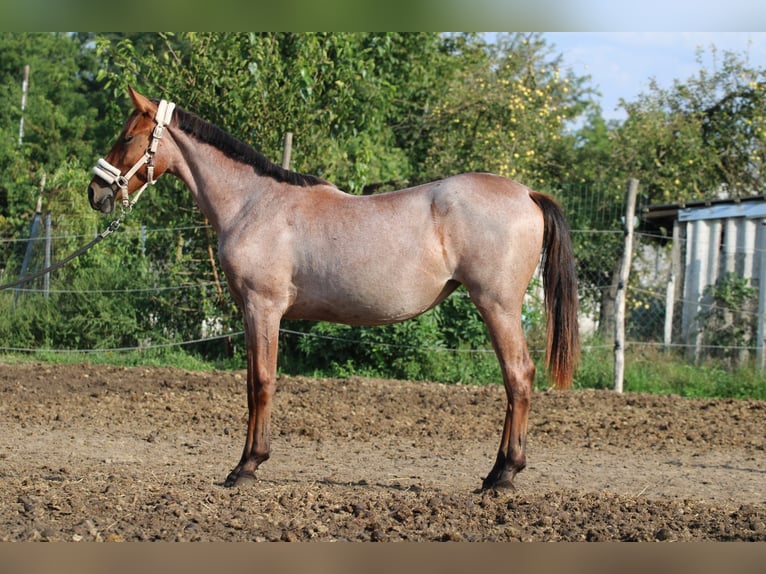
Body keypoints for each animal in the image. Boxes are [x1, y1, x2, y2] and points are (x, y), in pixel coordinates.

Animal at [88, 87, 579, 491]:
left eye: (128, 137)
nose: (95, 192)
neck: (253, 203)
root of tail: (528, 194)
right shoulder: (254, 311)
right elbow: (253, 381)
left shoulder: (262, 307)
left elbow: (261, 381)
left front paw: (246, 467)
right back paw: (497, 472)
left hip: (497, 306)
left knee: (519, 376)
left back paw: (504, 475)